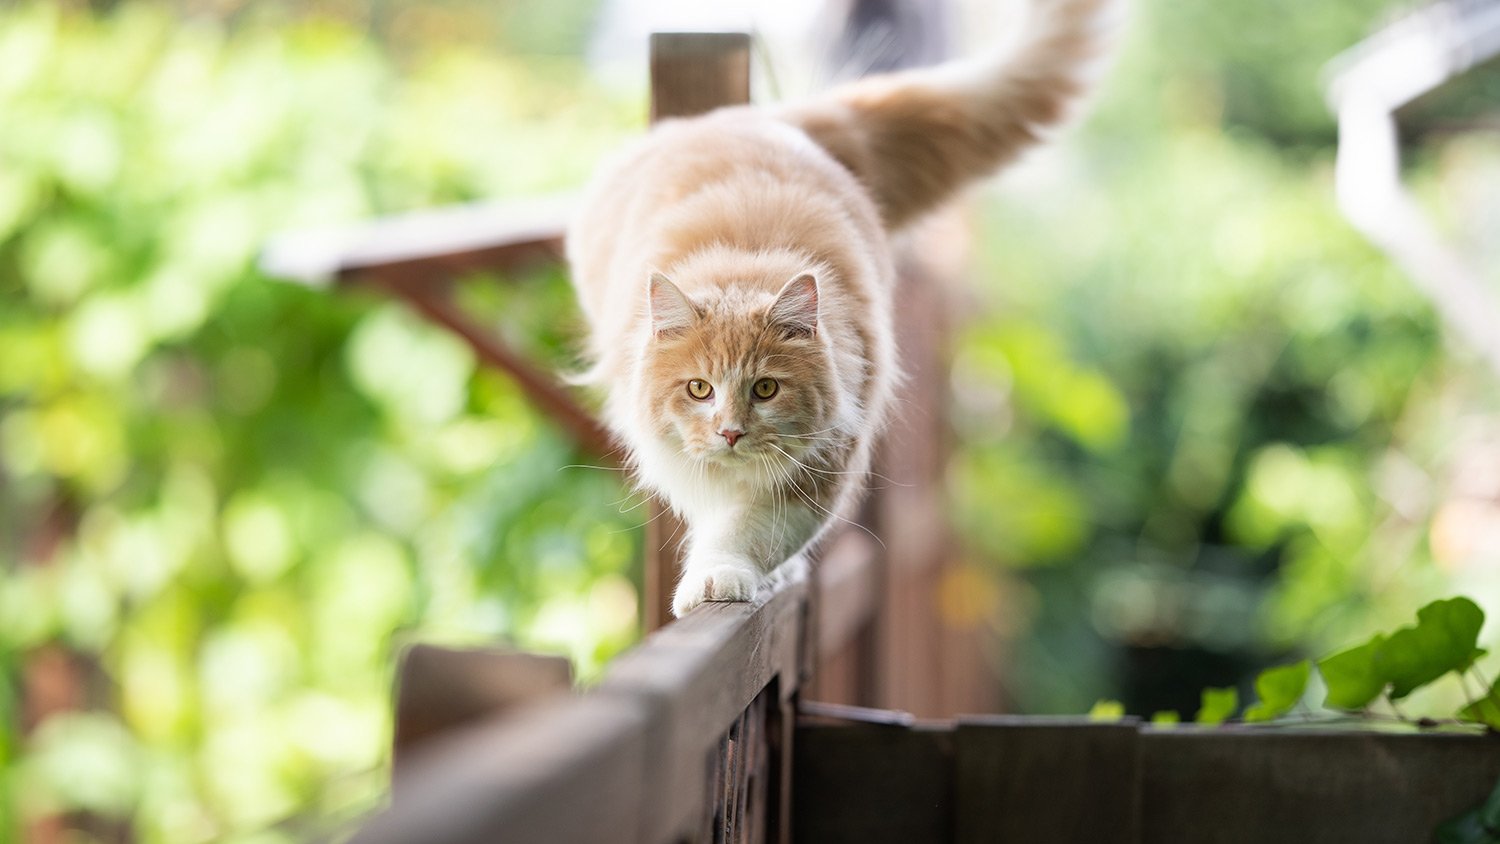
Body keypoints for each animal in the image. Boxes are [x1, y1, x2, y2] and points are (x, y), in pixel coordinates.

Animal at [564, 0, 1116, 617]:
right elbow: (722, 519)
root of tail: (766, 119)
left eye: (765, 389)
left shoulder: (816, 473)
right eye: (699, 389)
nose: (730, 433)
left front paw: (720, 579)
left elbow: (746, 533)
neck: (742, 267)